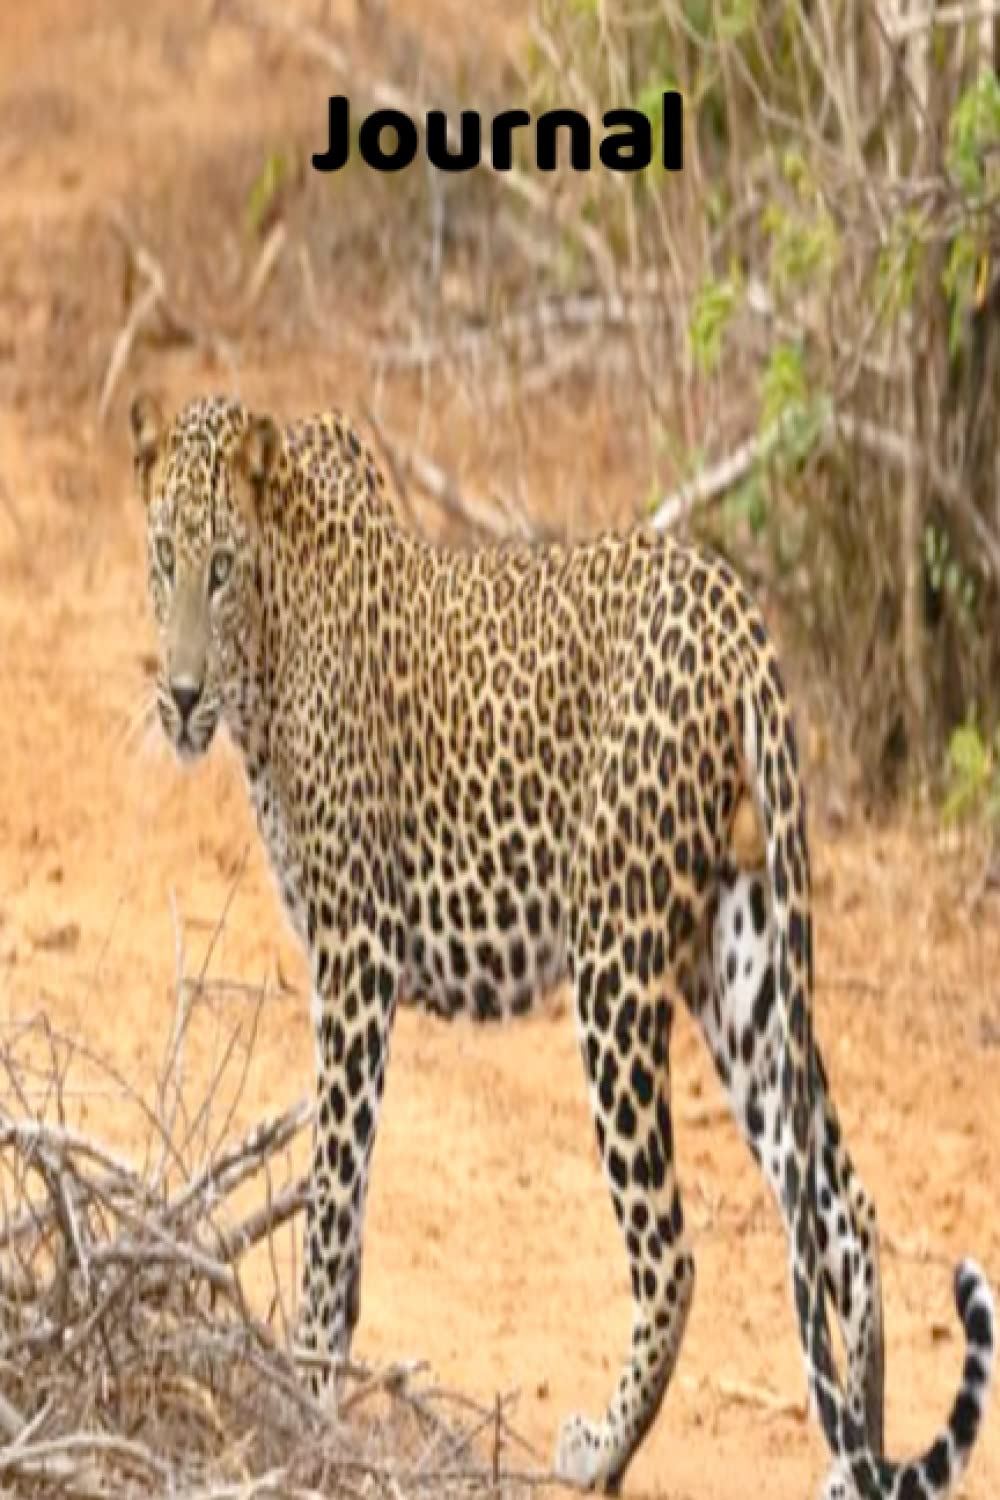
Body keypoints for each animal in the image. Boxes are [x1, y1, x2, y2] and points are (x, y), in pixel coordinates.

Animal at [130, 391, 994, 1499]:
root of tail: (735, 612)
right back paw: (855, 1462)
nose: (182, 694)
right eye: (163, 558)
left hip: (615, 964)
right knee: (838, 1215)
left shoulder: (356, 953)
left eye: (222, 569)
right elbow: (349, 1208)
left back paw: (603, 1451)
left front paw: (306, 1397)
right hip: (743, 965)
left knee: (673, 1252)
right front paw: (325, 1384)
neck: (273, 646)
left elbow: (329, 1198)